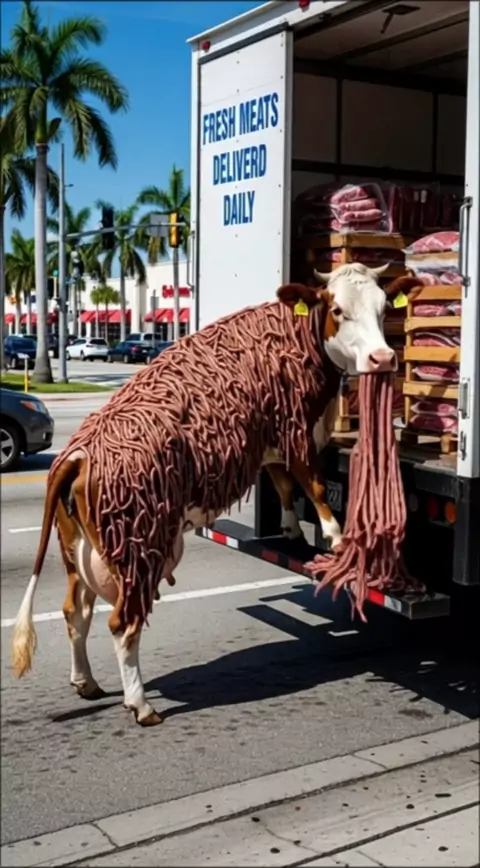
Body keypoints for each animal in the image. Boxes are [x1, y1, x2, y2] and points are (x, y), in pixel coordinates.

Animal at [12, 264, 408, 727]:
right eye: (338, 309)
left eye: (384, 308)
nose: (383, 358)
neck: (296, 336)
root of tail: (78, 453)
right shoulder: (294, 430)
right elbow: (310, 484)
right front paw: (339, 538)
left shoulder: (270, 436)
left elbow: (283, 483)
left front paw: (291, 529)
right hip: (136, 550)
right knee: (122, 625)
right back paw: (141, 705)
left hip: (77, 549)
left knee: (77, 612)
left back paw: (86, 683)